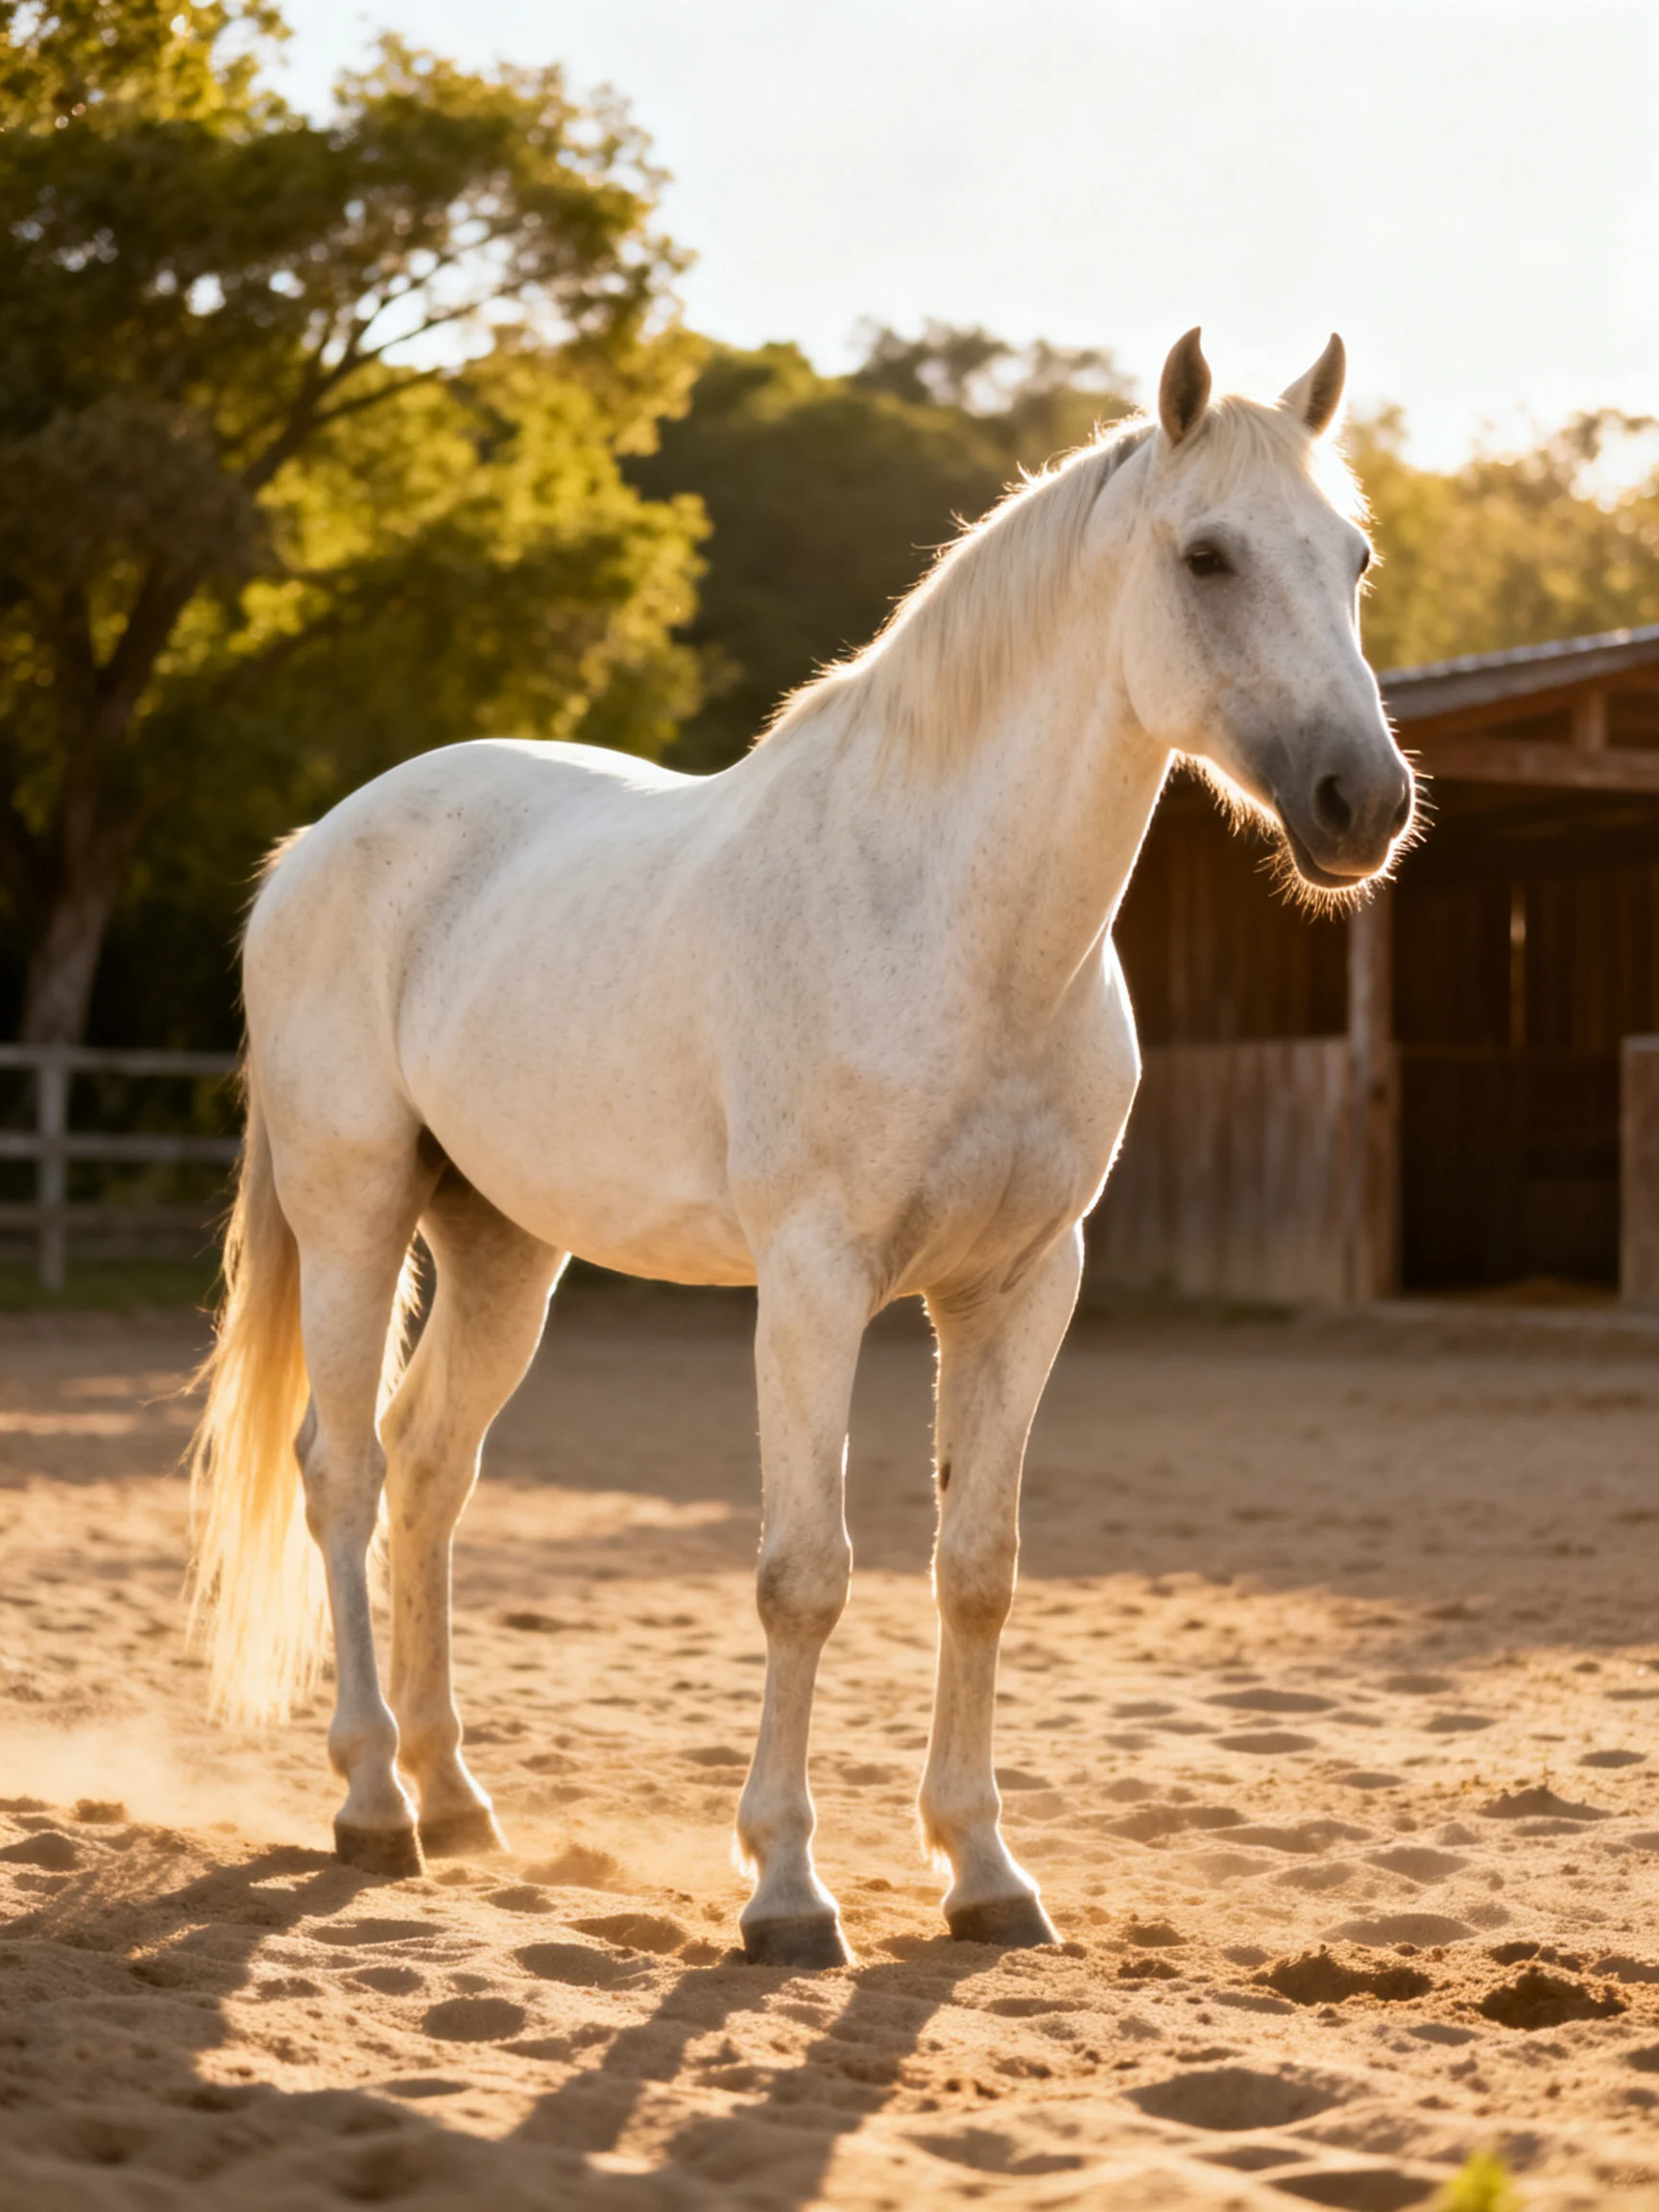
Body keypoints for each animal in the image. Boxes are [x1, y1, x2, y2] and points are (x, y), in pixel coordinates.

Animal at [188, 328, 1414, 1969]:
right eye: (1207, 555)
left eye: (1353, 559)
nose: (1365, 804)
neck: (947, 920)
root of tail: (313, 849)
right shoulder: (816, 1283)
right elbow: (803, 1576)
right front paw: (784, 1890)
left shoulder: (1024, 1287)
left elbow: (978, 1572)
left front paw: (986, 1874)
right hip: (355, 1213)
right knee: (343, 1475)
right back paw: (376, 1807)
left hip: (504, 1249)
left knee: (431, 1470)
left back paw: (457, 1800)